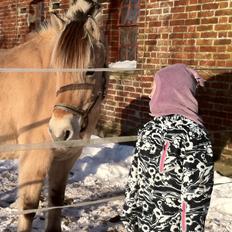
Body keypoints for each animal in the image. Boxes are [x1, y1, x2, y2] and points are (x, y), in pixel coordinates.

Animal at [0, 0, 106, 231]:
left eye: (91, 70)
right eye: (55, 68)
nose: (60, 130)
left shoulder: (65, 158)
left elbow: (56, 200)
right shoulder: (34, 157)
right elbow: (29, 207)